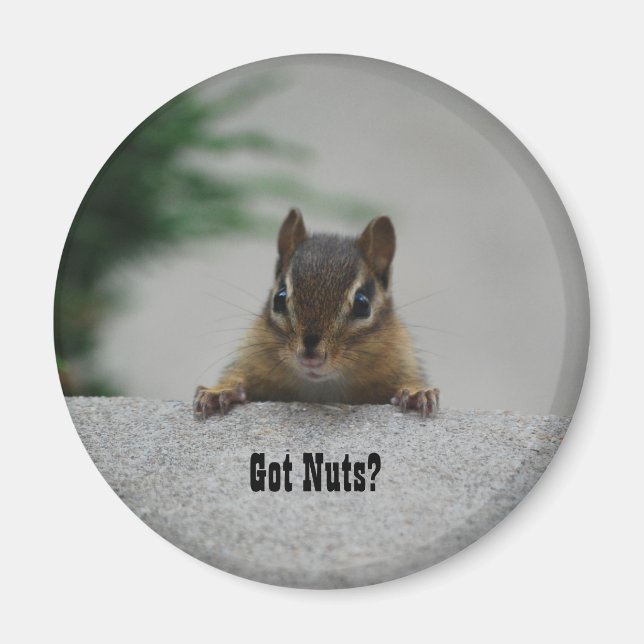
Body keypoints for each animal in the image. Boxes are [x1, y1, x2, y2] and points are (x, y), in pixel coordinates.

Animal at [194, 209, 440, 418]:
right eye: (279, 299)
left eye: (363, 304)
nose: (310, 356)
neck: (322, 387)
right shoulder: (251, 357)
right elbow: (236, 376)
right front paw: (220, 391)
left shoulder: (402, 359)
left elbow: (409, 379)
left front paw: (416, 393)